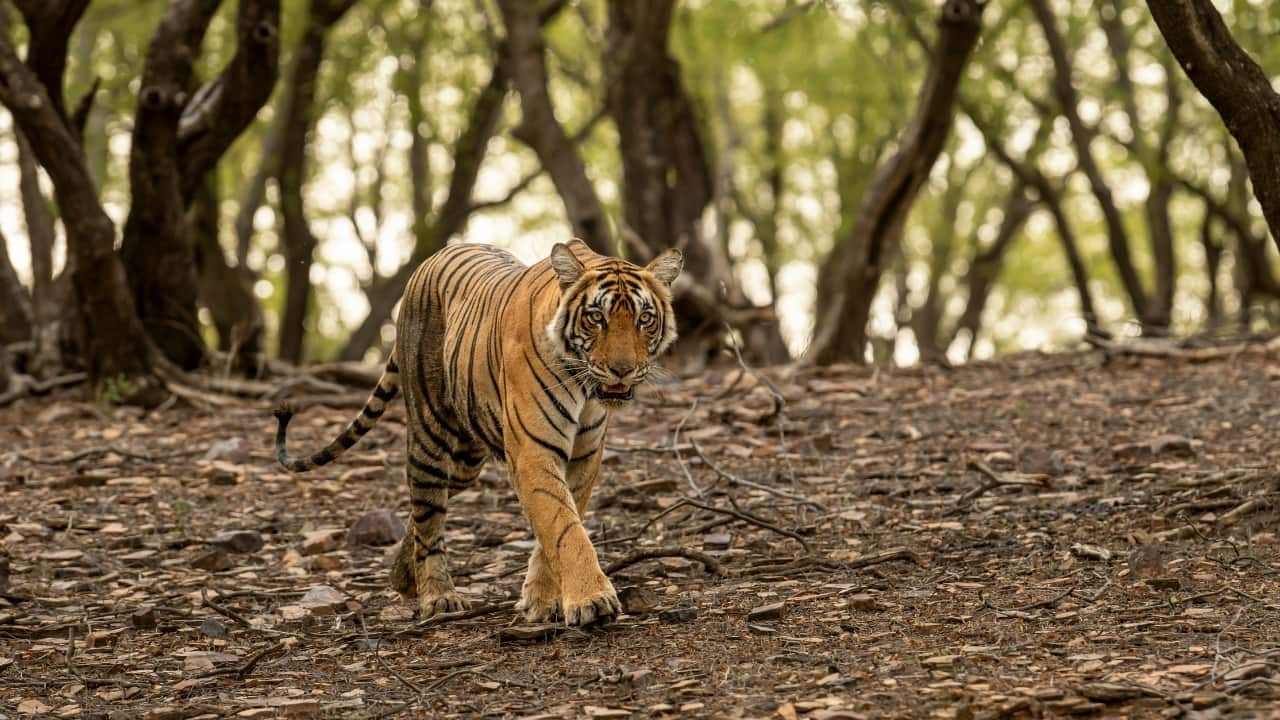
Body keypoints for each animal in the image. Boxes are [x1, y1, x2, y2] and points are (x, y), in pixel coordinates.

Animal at [273, 239, 682, 626]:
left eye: (645, 318)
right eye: (596, 317)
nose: (622, 370)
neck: (584, 387)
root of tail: (432, 258)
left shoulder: (583, 455)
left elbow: (559, 524)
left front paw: (541, 601)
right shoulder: (534, 451)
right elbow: (564, 527)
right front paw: (591, 601)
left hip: (467, 461)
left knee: (425, 513)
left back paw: (403, 577)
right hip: (429, 436)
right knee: (428, 516)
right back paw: (437, 596)